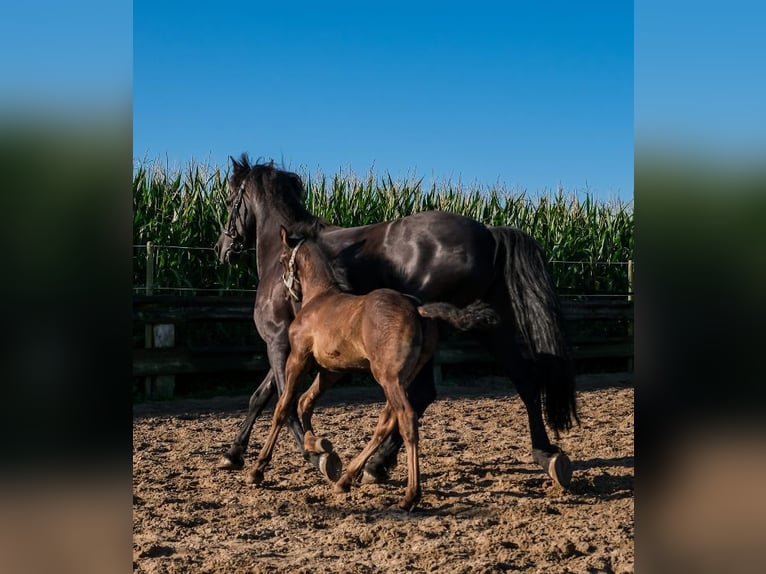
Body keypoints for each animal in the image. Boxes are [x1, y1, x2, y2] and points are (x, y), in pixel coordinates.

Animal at [213, 156, 580, 490]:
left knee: (420, 396)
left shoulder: (278, 340)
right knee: (524, 379)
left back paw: (375, 466)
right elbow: (261, 397)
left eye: (230, 200)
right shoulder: (293, 346)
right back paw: (547, 455)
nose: (222, 248)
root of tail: (490, 233)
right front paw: (233, 454)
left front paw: (317, 457)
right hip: (489, 327)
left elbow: (282, 403)